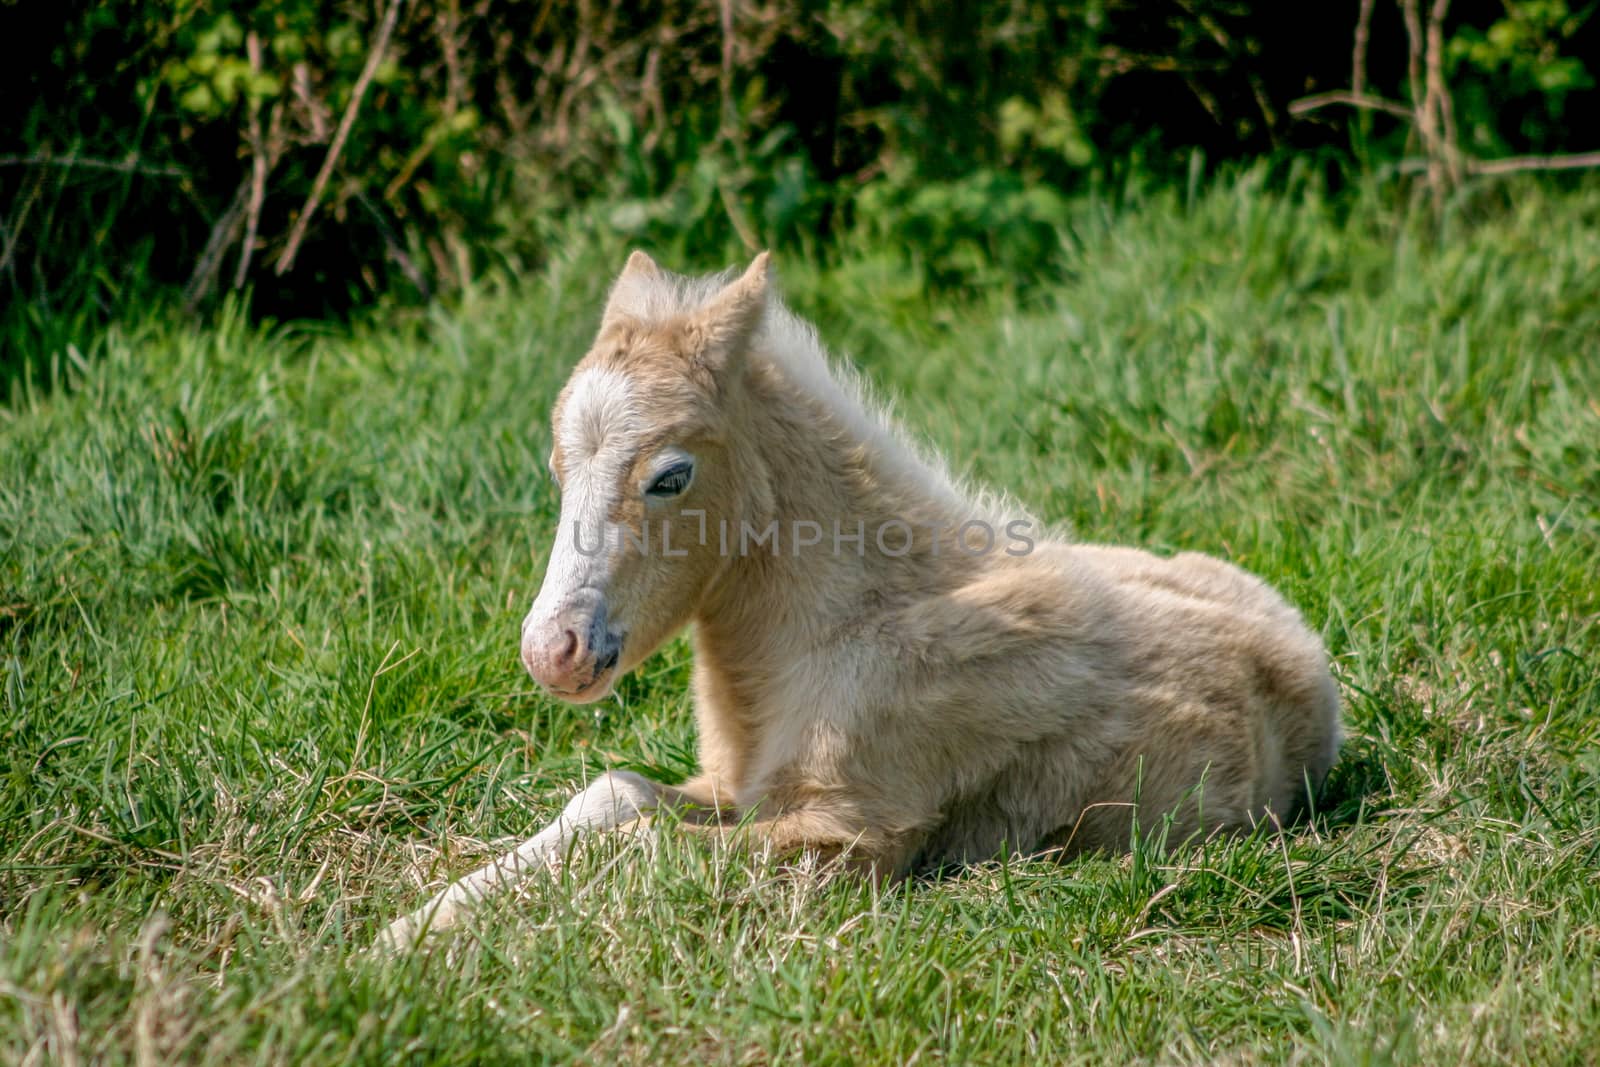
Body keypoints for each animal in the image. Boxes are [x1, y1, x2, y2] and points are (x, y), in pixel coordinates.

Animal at [380, 252, 1344, 953]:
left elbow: (641, 844)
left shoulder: (847, 839)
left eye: (671, 476)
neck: (835, 628)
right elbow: (610, 798)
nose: (556, 652)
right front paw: (403, 933)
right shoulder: (736, 789)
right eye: (557, 470)